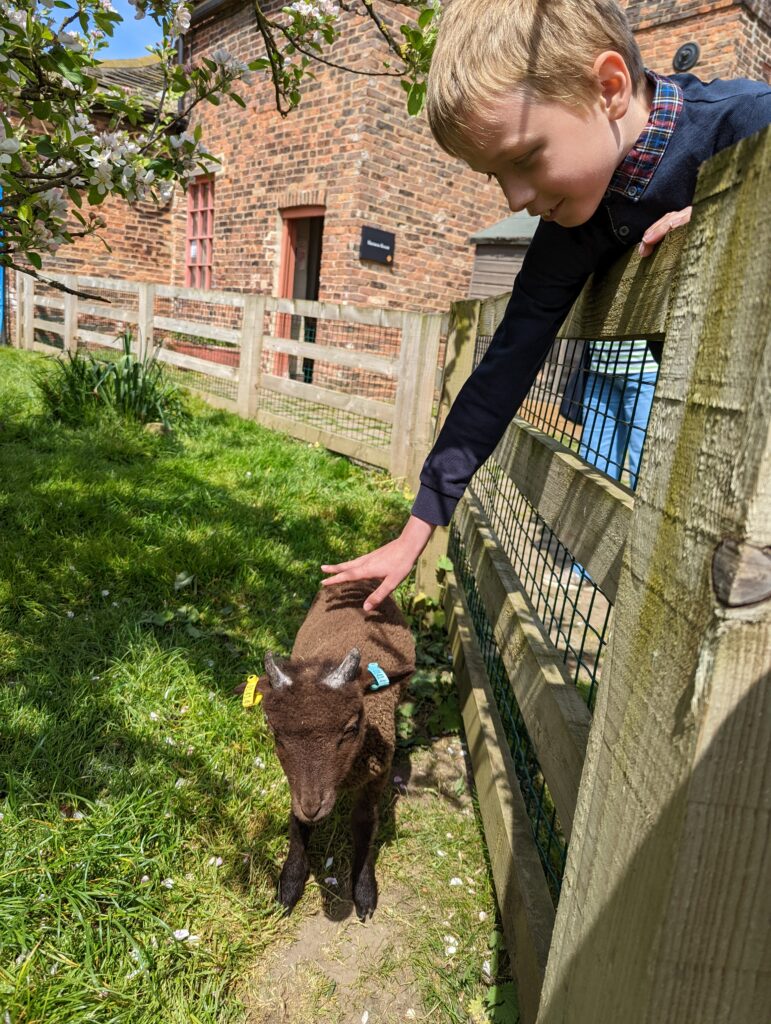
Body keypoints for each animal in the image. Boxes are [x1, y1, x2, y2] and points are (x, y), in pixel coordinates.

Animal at [250, 581, 415, 925]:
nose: (314, 806)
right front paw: (289, 886)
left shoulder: (376, 775)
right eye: (274, 730)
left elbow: (364, 824)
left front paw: (363, 892)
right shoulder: (297, 785)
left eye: (352, 726)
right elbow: (297, 822)